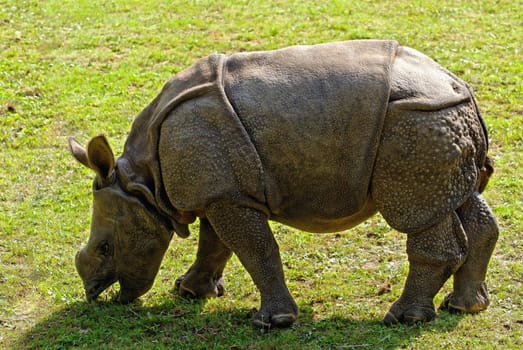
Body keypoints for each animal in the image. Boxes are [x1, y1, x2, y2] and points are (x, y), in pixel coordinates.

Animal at [69, 41, 500, 328]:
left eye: (106, 247)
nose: (93, 294)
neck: (144, 183)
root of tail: (464, 90)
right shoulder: (221, 191)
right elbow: (216, 244)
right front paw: (189, 292)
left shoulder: (223, 194)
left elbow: (254, 249)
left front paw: (272, 322)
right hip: (439, 122)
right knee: (461, 202)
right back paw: (464, 307)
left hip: (416, 121)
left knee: (419, 215)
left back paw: (402, 318)